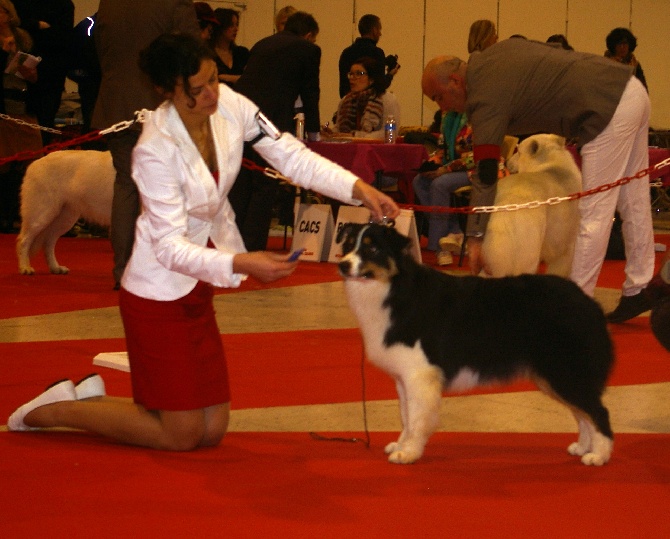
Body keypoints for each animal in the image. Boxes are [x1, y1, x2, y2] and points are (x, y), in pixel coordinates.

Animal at [338, 221, 616, 466]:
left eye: (373, 249)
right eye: (349, 245)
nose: (342, 264)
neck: (394, 288)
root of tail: (589, 302)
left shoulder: (420, 374)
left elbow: (417, 419)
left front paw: (409, 453)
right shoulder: (403, 376)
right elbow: (406, 416)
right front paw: (402, 444)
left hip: (564, 372)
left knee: (598, 412)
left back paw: (598, 455)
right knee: (583, 414)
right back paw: (583, 447)